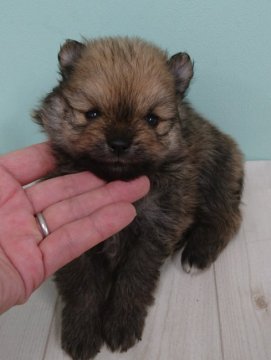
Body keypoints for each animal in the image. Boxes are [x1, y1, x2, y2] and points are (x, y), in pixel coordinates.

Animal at [33, 37, 244, 360]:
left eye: (152, 119)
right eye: (92, 113)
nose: (119, 143)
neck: (116, 179)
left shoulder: (156, 226)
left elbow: (134, 279)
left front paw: (122, 323)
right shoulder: (77, 239)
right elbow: (82, 286)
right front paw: (82, 331)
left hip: (213, 172)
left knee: (227, 216)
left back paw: (197, 253)